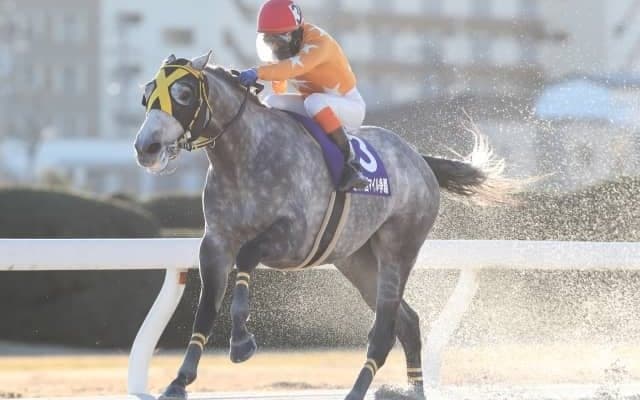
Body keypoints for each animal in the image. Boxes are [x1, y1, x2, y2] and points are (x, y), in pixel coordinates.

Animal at [134, 52, 522, 400]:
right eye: (147, 93)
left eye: (184, 94)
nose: (146, 147)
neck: (246, 155)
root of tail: (418, 159)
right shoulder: (215, 243)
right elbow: (204, 311)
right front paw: (177, 383)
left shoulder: (295, 238)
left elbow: (247, 256)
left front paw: (241, 340)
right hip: (356, 260)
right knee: (408, 323)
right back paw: (413, 390)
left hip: (399, 248)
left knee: (384, 331)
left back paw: (358, 391)